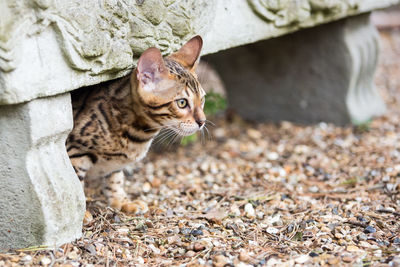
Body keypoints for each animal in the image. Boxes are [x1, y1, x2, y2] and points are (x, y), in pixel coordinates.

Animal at [66, 36, 206, 214]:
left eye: (202, 99)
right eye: (182, 103)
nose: (202, 121)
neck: (138, 135)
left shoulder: (115, 165)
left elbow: (115, 179)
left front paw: (121, 201)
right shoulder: (74, 152)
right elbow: (75, 187)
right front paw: (82, 215)